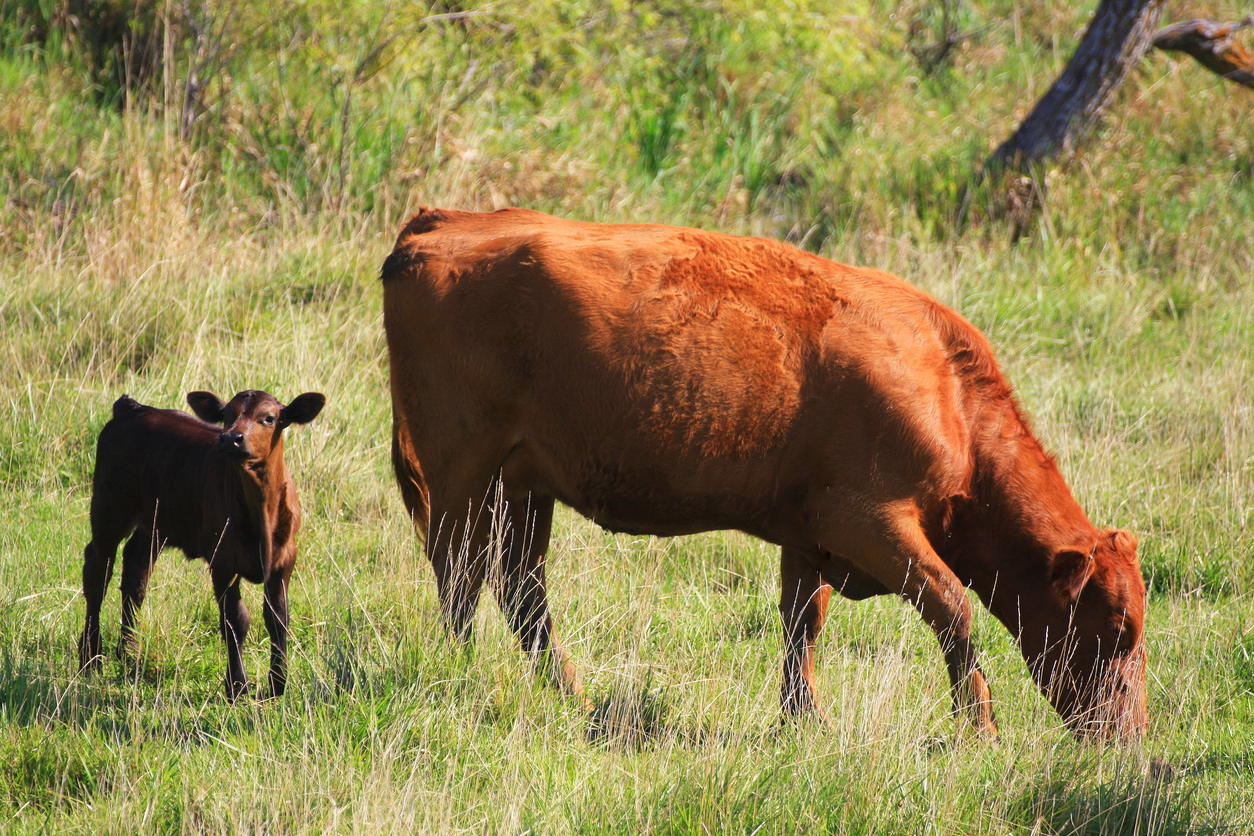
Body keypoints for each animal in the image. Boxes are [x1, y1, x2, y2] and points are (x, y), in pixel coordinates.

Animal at [78, 389, 325, 700]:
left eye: (269, 418)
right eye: (227, 415)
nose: (231, 438)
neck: (261, 513)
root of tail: (133, 408)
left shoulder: (284, 560)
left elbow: (278, 618)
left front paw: (277, 685)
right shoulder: (223, 561)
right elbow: (235, 620)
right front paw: (237, 686)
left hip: (155, 522)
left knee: (135, 571)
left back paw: (130, 653)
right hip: (109, 507)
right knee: (98, 572)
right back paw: (90, 656)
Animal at [381, 207, 1147, 739]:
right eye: (1118, 630)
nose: (1130, 739)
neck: (948, 391)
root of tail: (439, 225)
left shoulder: (811, 538)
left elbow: (801, 627)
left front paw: (805, 721)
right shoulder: (873, 522)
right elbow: (954, 611)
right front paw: (980, 730)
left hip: (524, 486)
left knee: (520, 589)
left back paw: (578, 699)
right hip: (462, 474)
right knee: (461, 578)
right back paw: (466, 675)